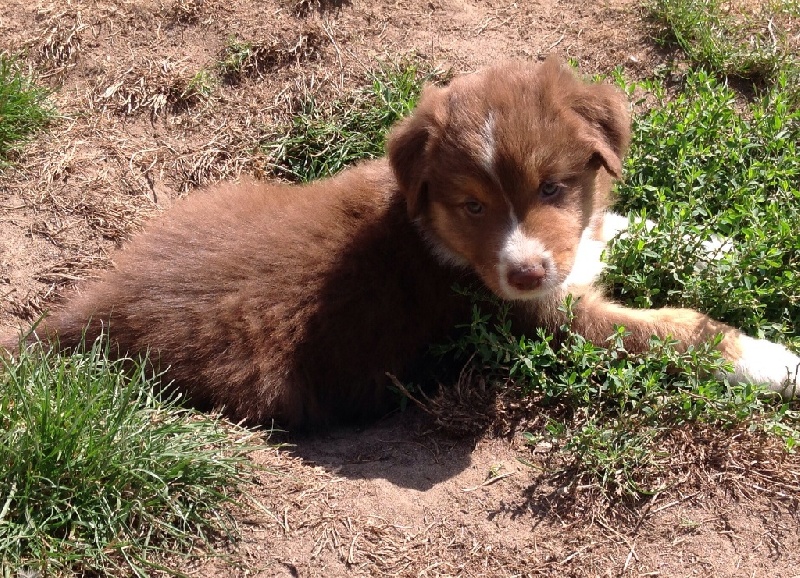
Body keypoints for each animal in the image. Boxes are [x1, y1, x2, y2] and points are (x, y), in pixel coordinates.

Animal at [3, 57, 798, 428]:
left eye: (552, 188)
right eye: (471, 205)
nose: (525, 271)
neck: (435, 235)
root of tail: (78, 315)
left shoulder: (573, 251)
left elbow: (625, 228)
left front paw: (724, 247)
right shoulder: (550, 319)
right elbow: (672, 331)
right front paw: (773, 361)